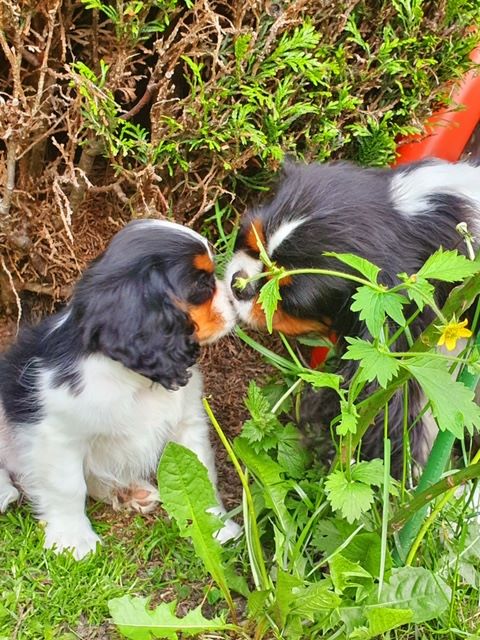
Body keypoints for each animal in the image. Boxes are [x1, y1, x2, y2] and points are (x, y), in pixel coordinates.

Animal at [0, 220, 240, 560]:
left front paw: (217, 527)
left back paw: (126, 491)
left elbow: (202, 470)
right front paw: (75, 540)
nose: (239, 290)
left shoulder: (187, 423)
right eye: (201, 284)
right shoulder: (58, 436)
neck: (135, 378)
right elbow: (68, 487)